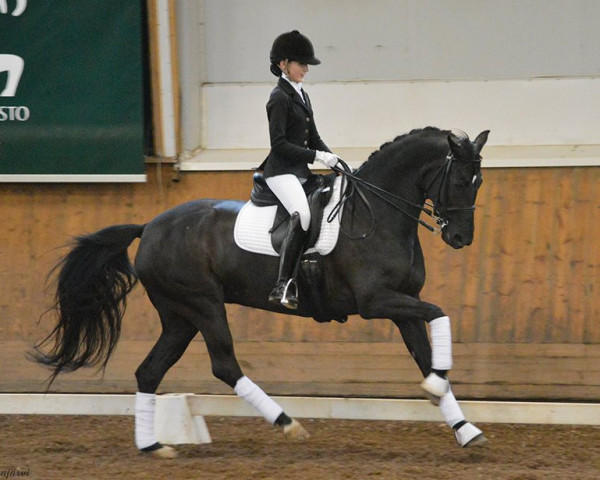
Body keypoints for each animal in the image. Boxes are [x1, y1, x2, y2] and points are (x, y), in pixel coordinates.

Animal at [34, 126, 488, 458]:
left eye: (479, 182)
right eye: (459, 180)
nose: (461, 238)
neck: (376, 213)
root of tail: (150, 226)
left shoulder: (401, 306)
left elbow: (426, 351)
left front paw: (464, 426)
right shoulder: (377, 302)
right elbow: (441, 313)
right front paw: (437, 390)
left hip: (179, 317)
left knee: (149, 371)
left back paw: (153, 446)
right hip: (203, 306)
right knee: (224, 365)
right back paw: (288, 424)